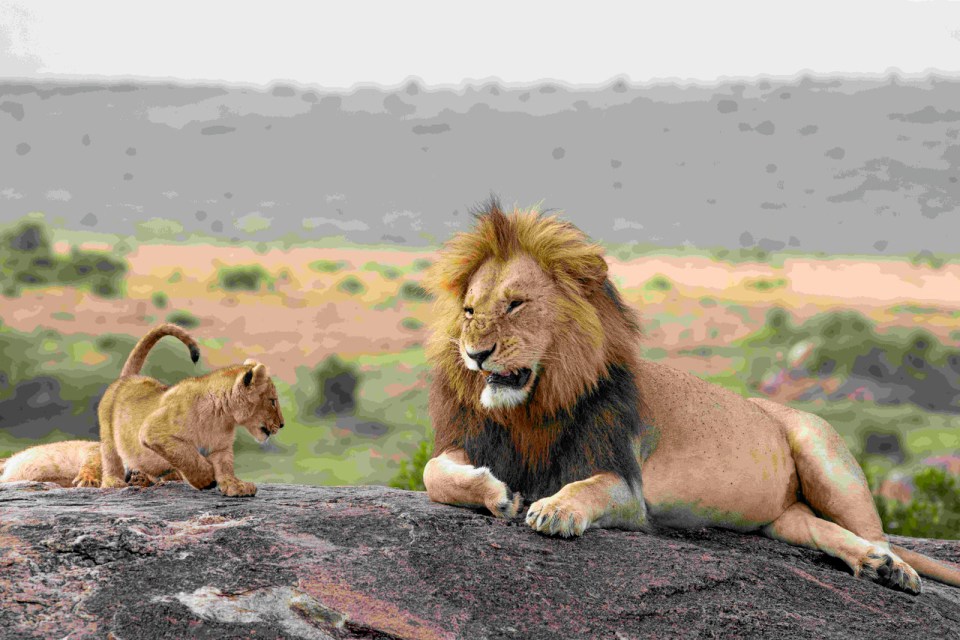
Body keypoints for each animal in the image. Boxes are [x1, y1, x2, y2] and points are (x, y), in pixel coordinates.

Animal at [424, 201, 956, 596]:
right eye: (469, 311)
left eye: (516, 304)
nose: (475, 354)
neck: (532, 407)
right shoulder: (473, 441)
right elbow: (435, 474)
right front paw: (499, 495)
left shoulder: (627, 487)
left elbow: (586, 487)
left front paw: (554, 510)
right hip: (782, 519)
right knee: (819, 530)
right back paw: (873, 564)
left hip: (824, 450)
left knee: (877, 534)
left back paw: (893, 568)